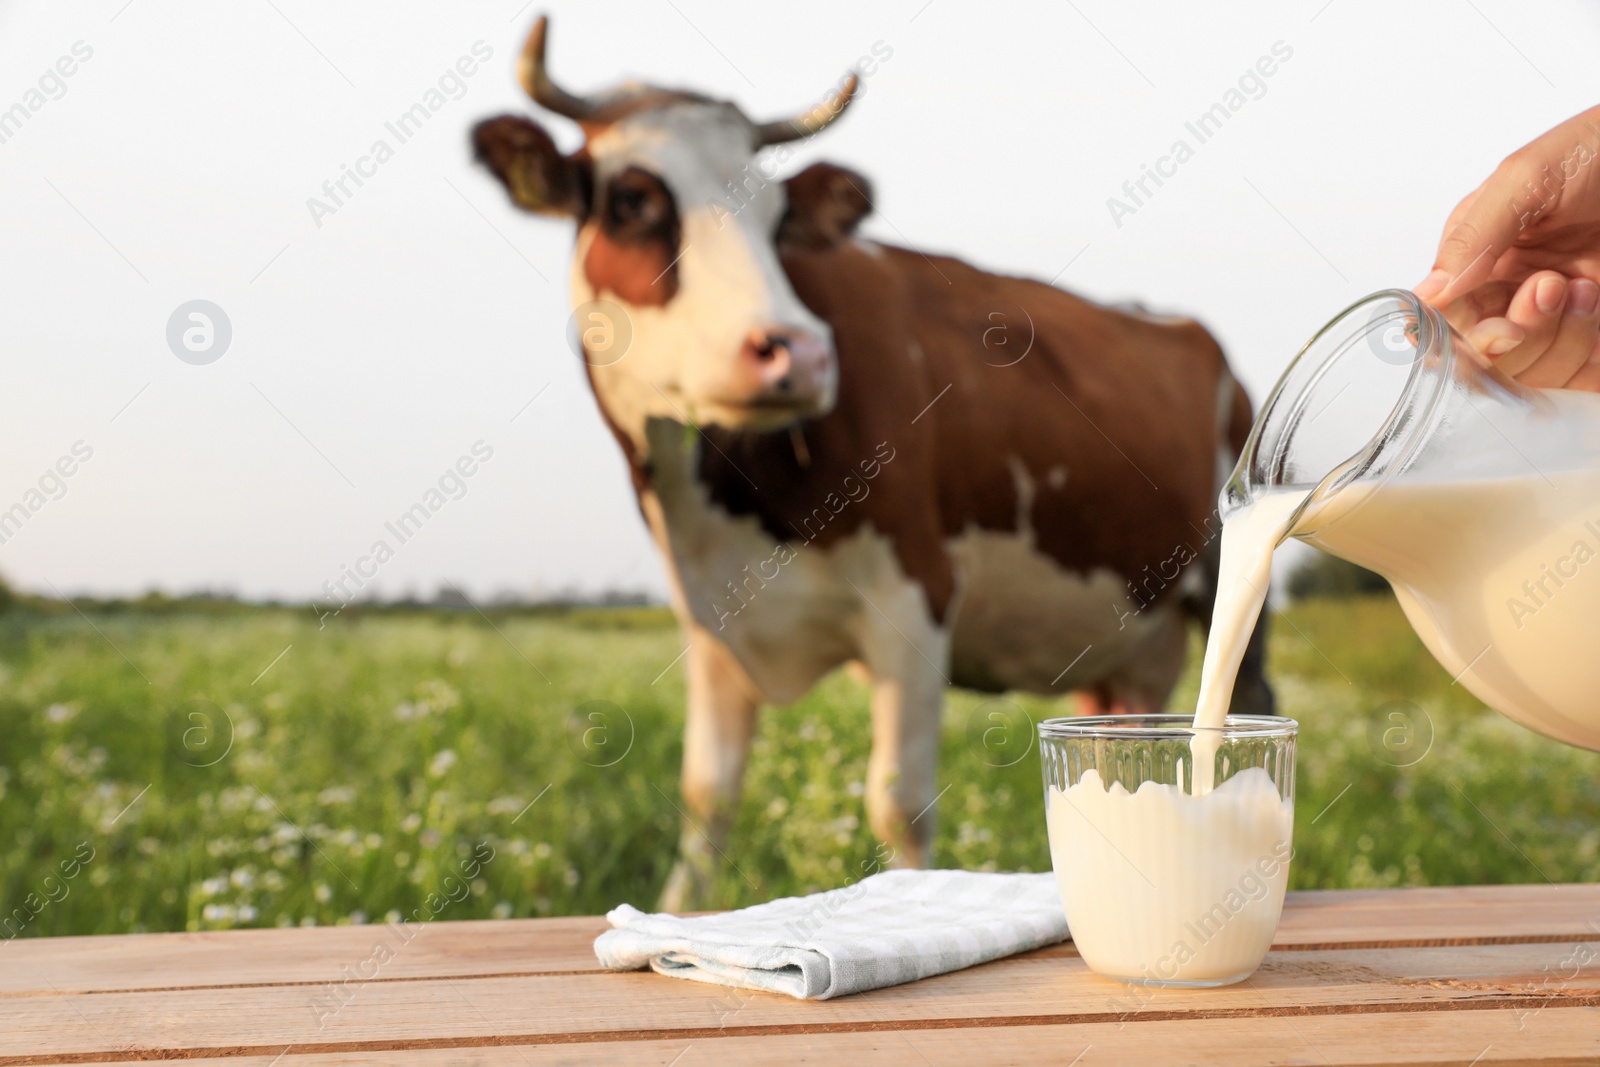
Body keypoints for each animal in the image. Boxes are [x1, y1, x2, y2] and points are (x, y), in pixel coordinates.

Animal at [467, 16, 1267, 908]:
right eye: (633, 199)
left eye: (776, 216)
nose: (799, 352)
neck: (721, 510)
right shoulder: (711, 624)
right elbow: (706, 798)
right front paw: (678, 911)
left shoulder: (916, 599)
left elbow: (899, 805)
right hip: (1120, 636)